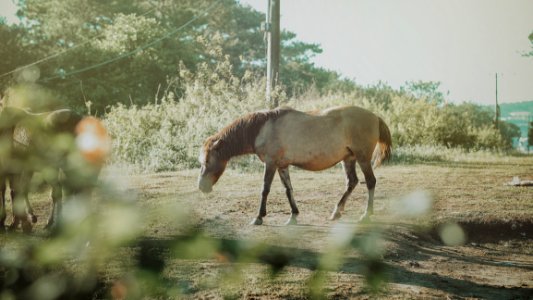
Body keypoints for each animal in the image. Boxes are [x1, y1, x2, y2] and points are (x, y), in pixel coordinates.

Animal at [195, 105, 390, 225]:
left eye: (207, 161)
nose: (201, 187)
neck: (263, 127)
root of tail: (375, 117)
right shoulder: (282, 166)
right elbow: (288, 190)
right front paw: (293, 216)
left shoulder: (271, 163)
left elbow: (265, 189)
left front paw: (259, 217)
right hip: (348, 158)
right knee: (352, 182)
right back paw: (336, 212)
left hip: (363, 158)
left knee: (370, 182)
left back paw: (366, 215)